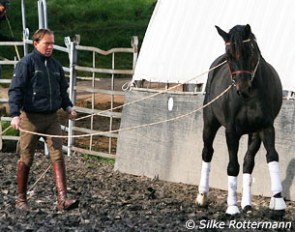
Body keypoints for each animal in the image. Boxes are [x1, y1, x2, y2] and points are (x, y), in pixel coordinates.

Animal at [197, 24, 286, 215]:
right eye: (230, 56)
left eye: (250, 51)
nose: (243, 88)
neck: (249, 99)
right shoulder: (231, 131)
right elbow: (232, 166)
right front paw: (232, 207)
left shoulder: (266, 127)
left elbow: (272, 156)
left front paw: (279, 204)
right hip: (209, 123)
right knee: (207, 152)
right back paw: (202, 197)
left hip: (254, 133)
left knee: (248, 162)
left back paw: (246, 204)